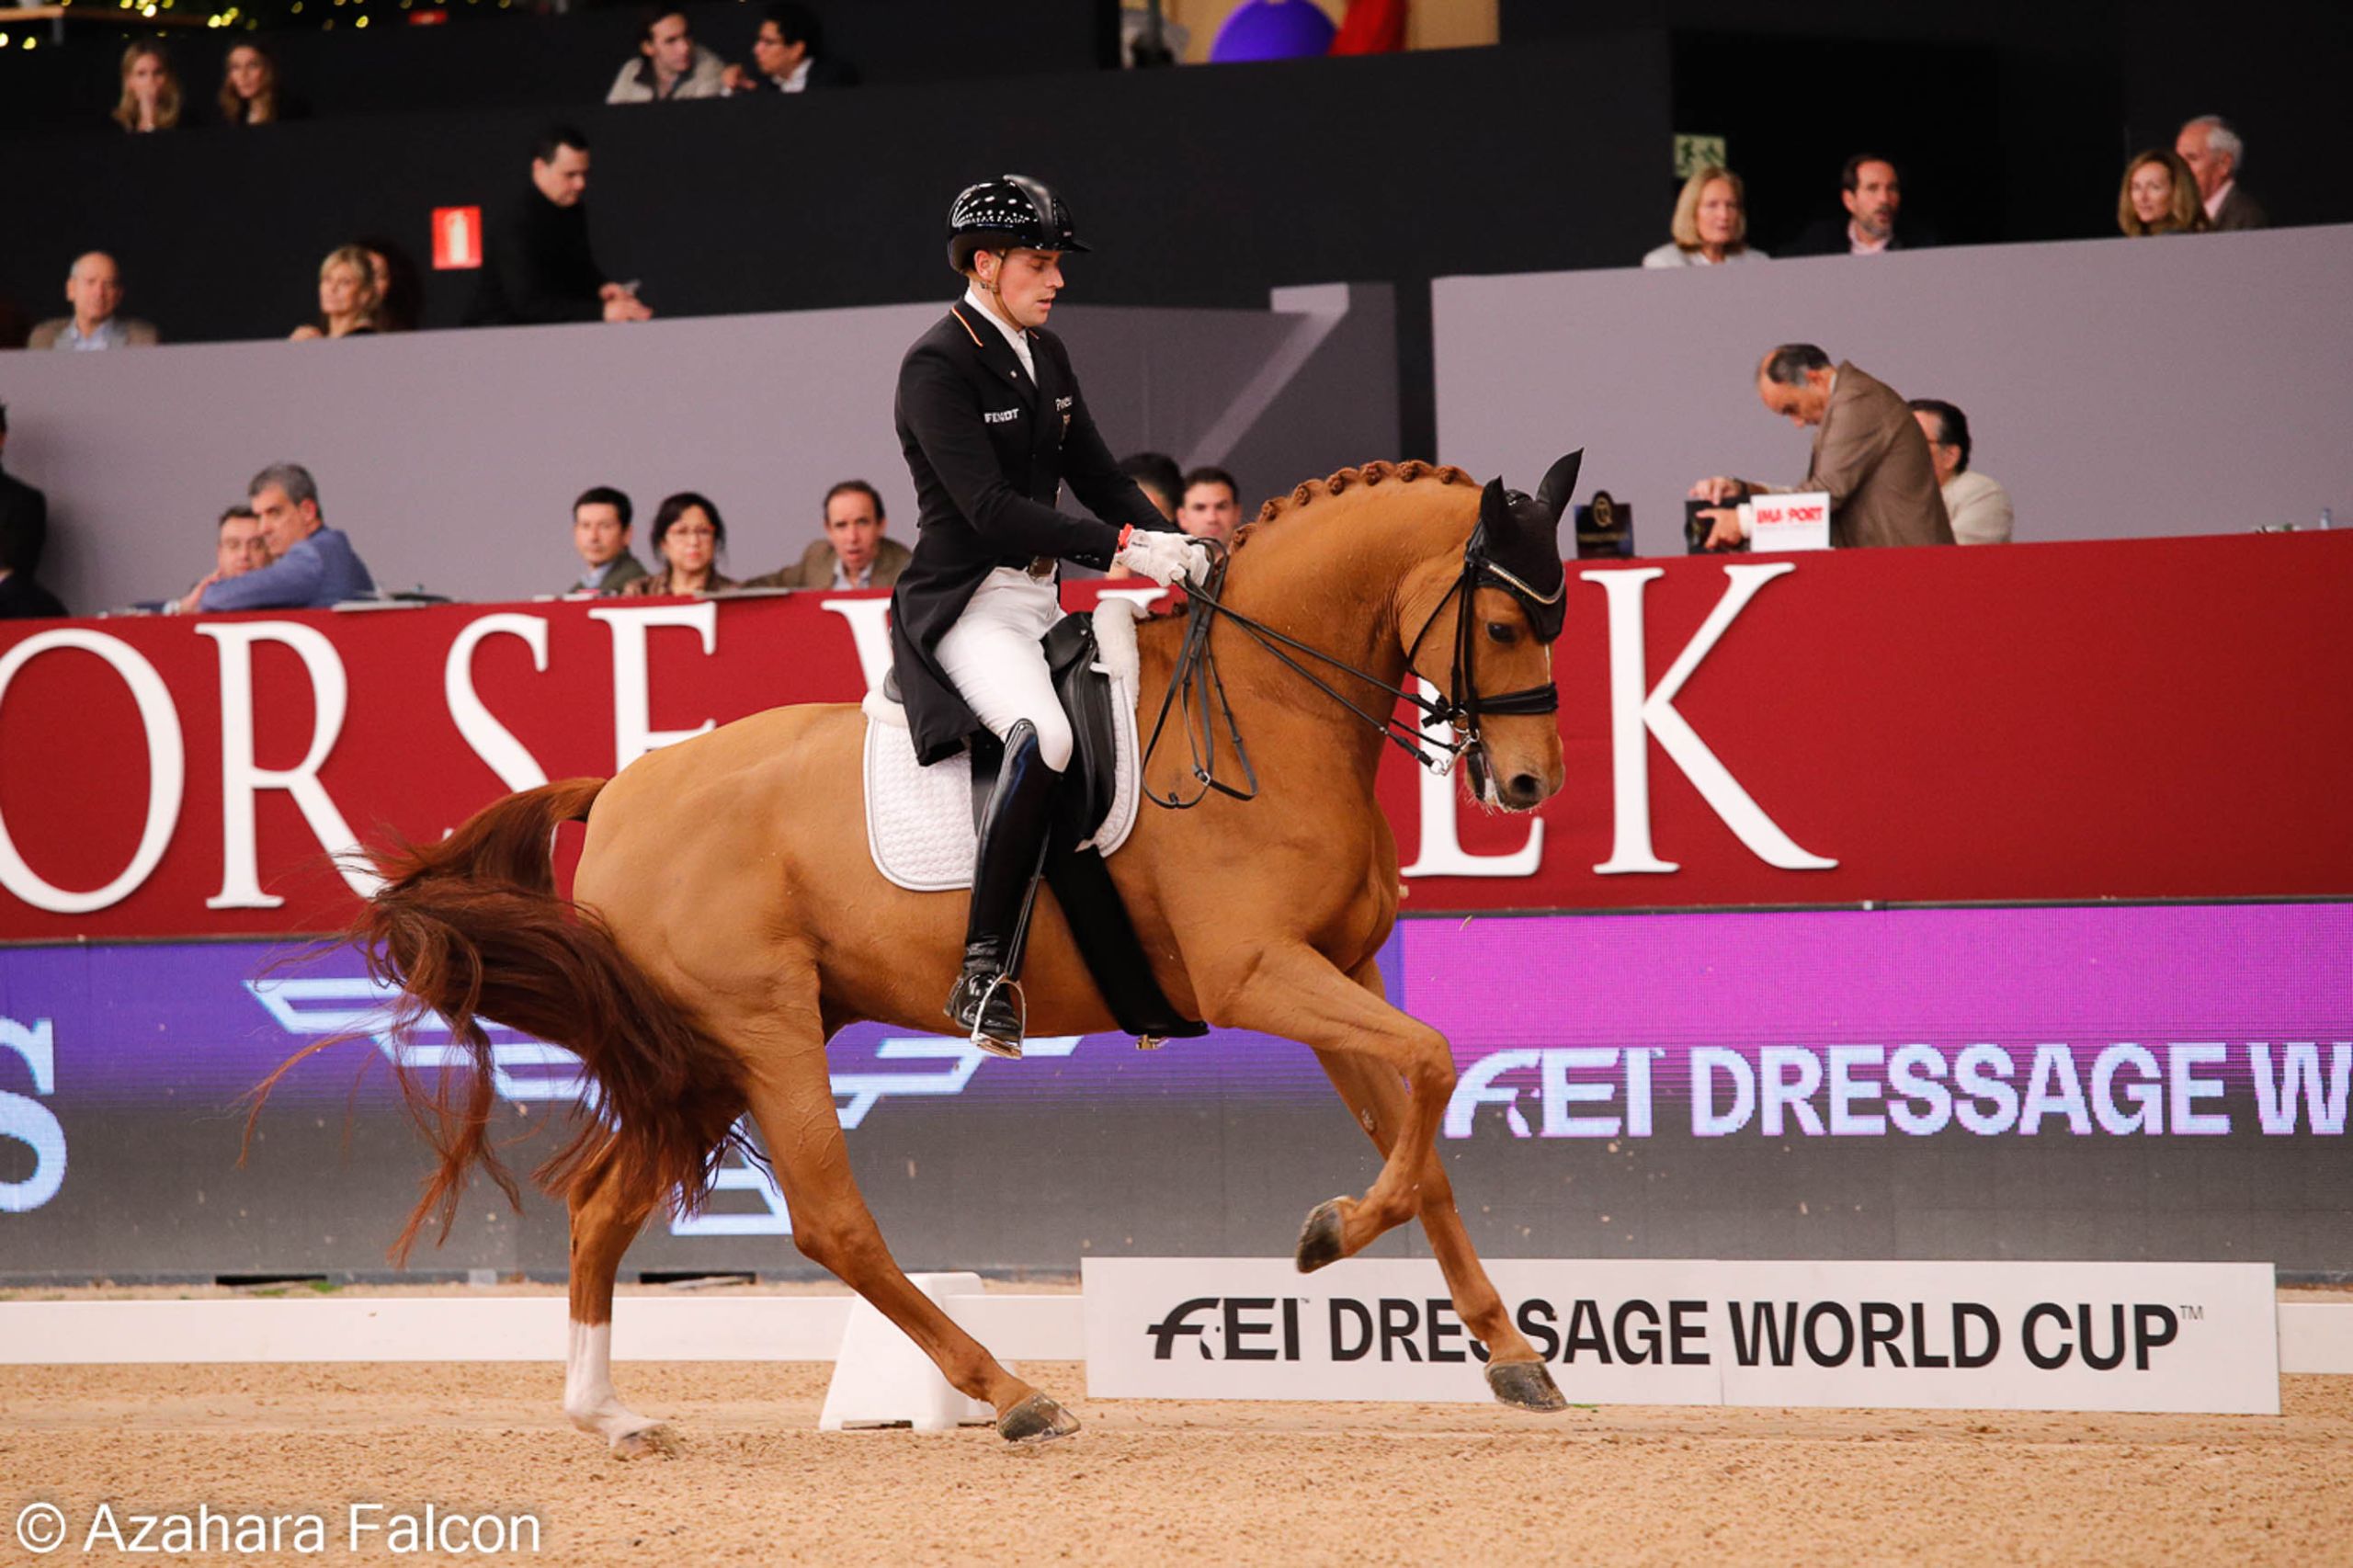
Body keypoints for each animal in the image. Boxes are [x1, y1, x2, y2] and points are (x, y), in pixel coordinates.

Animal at [299, 459, 1581, 1449]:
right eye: (1503, 624)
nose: (1529, 787)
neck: (1268, 701)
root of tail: (617, 787)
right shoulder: (1260, 973)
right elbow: (1432, 1062)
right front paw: (1326, 1238)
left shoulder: (1340, 971)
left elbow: (1424, 1137)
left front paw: (1511, 1350)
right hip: (762, 1030)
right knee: (829, 1219)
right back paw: (1009, 1392)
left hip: (714, 1049)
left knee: (606, 1204)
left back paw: (610, 1414)